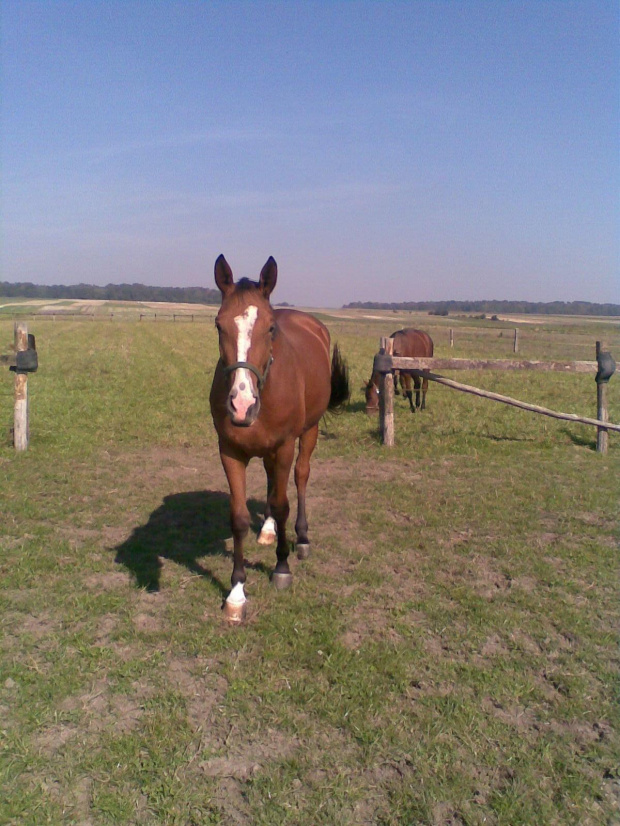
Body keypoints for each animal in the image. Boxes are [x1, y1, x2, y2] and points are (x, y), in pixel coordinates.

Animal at [211, 254, 352, 620]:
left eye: (270, 327)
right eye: (219, 325)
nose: (242, 405)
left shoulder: (286, 445)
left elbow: (283, 501)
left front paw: (282, 567)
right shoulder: (230, 451)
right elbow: (239, 517)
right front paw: (236, 592)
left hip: (307, 433)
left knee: (299, 478)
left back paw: (300, 539)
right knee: (273, 481)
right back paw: (269, 530)